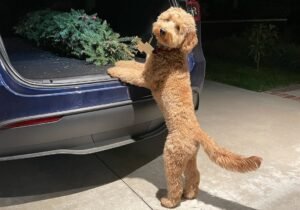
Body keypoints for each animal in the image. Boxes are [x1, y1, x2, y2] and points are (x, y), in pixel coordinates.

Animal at [107, 6, 260, 208]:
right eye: (168, 18)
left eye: (178, 28)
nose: (162, 30)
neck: (171, 52)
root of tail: (198, 132)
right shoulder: (146, 68)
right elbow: (132, 64)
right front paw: (120, 61)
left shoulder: (145, 78)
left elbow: (129, 73)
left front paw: (113, 69)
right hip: (188, 158)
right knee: (194, 174)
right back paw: (190, 193)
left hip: (172, 156)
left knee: (176, 182)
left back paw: (169, 201)